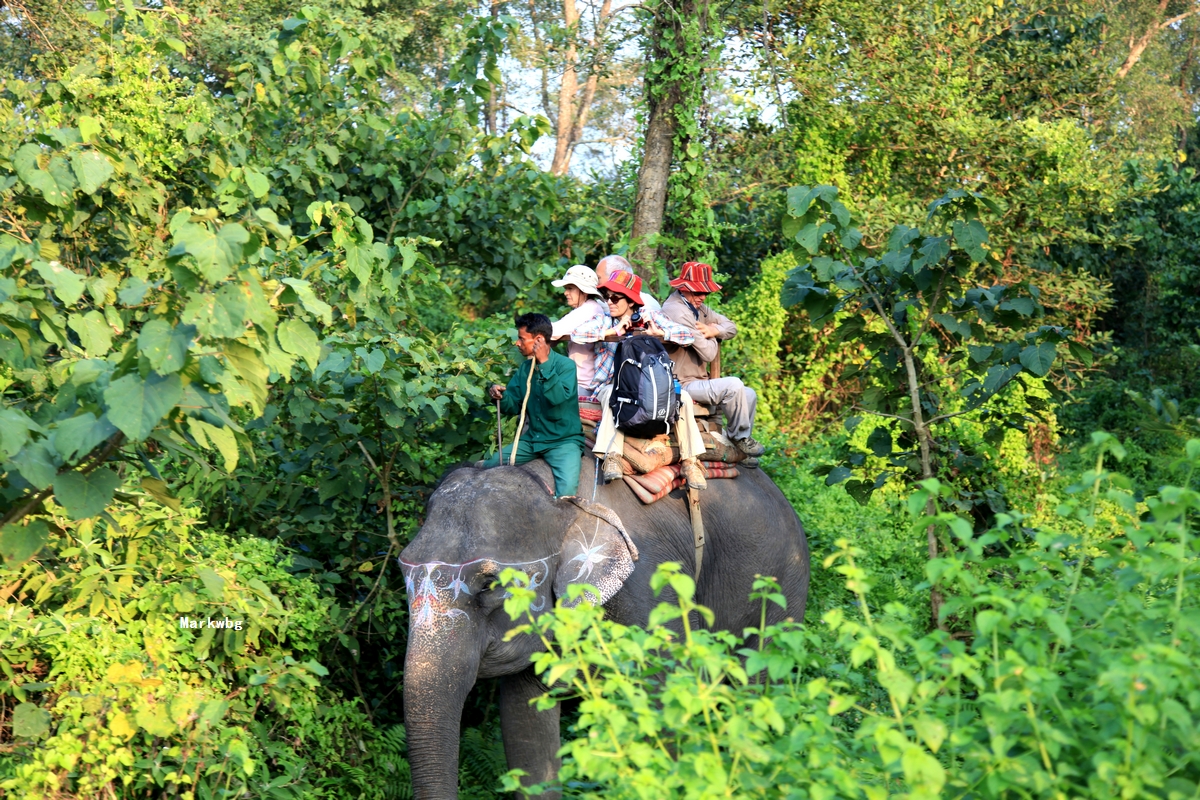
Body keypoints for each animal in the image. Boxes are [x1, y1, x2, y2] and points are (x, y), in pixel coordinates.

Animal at [400, 455, 806, 800]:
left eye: (488, 585)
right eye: (403, 573)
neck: (555, 496)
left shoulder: (650, 587)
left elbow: (664, 703)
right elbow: (525, 726)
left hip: (780, 587)